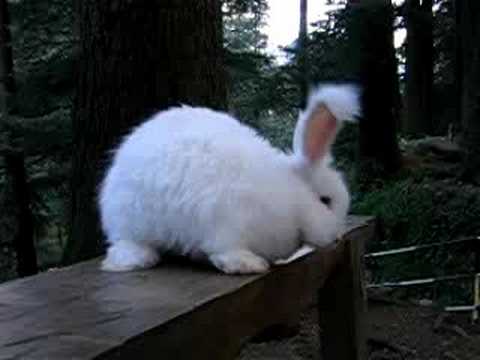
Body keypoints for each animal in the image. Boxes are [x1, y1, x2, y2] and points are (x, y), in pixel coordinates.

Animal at [98, 84, 360, 274]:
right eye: (325, 200)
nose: (336, 237)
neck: (289, 195)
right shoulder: (227, 223)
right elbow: (227, 250)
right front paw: (249, 265)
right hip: (130, 220)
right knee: (125, 244)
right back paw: (138, 260)